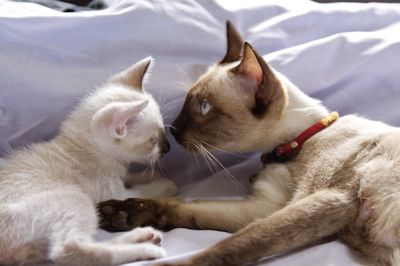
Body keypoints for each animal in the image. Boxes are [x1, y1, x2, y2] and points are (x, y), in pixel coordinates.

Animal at [0, 57, 177, 264]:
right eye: (152, 141)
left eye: (162, 130)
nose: (168, 148)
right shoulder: (114, 194)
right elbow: (144, 192)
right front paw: (165, 183)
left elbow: (132, 177)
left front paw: (150, 175)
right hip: (76, 199)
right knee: (70, 250)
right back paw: (144, 248)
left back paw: (142, 237)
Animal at [97, 22, 400, 266]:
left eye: (204, 107)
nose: (173, 129)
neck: (295, 143)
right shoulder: (265, 206)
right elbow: (191, 208)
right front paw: (120, 214)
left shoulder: (324, 201)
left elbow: (227, 245)